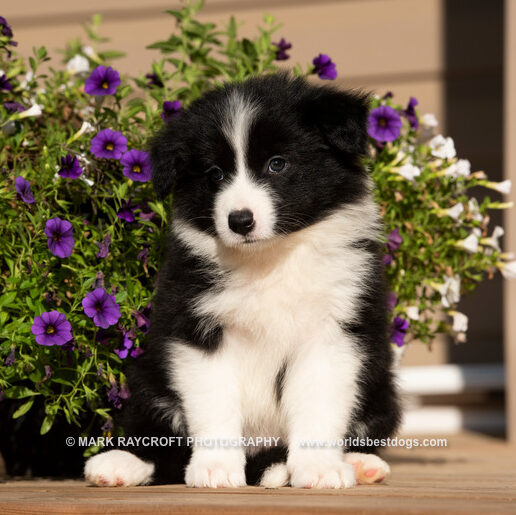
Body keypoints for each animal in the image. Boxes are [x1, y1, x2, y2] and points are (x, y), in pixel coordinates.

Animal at [84, 71, 402, 488]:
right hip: (146, 374)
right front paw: (216, 468)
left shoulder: (332, 334)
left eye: (277, 164)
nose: (239, 221)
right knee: (157, 435)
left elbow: (319, 405)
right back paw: (119, 463)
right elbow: (213, 402)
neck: (270, 259)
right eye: (214, 174)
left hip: (382, 390)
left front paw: (319, 469)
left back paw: (361, 463)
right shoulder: (197, 330)